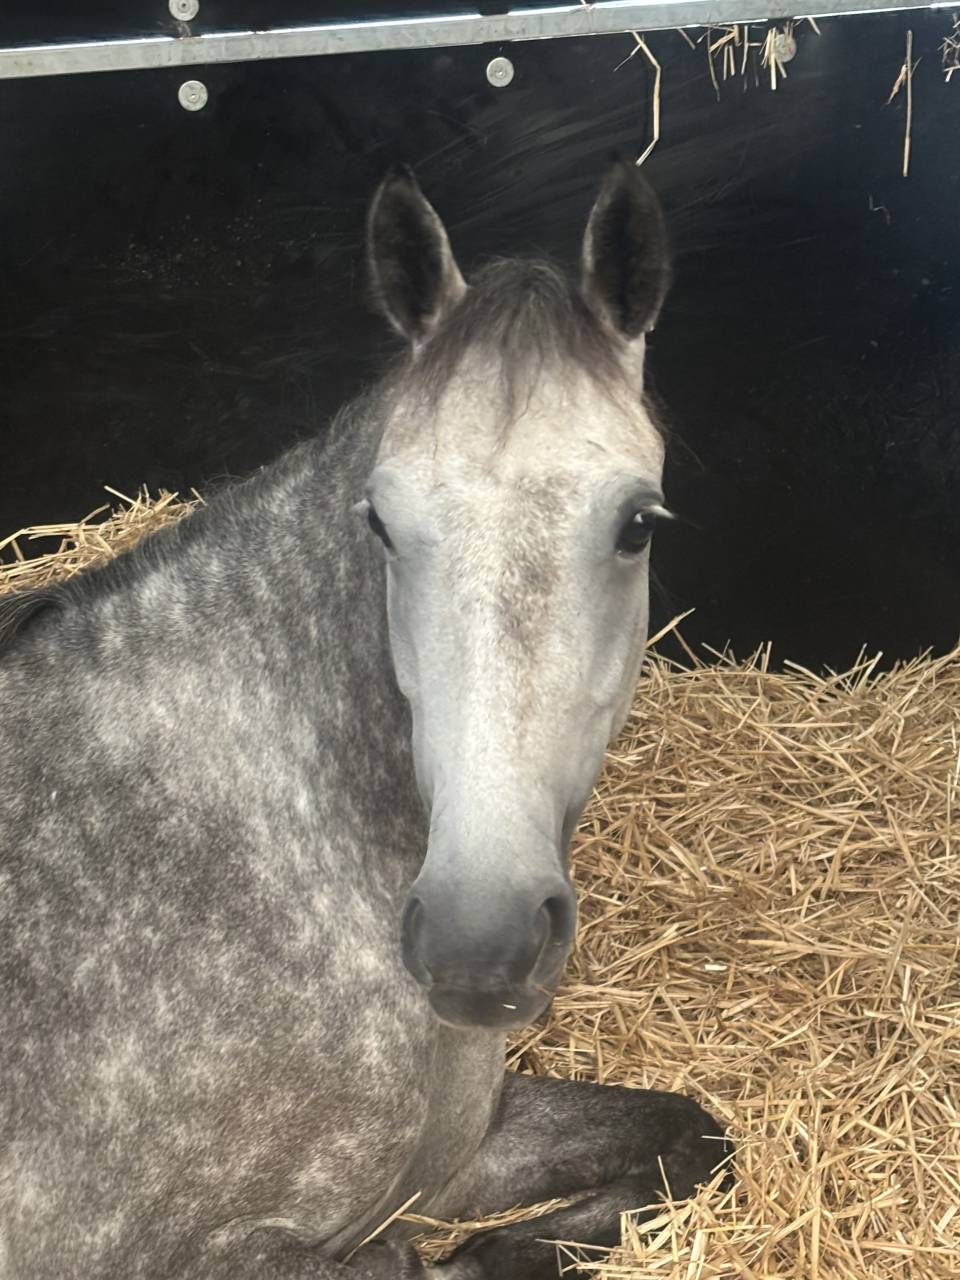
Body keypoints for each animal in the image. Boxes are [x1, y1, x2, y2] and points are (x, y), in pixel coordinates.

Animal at [0, 162, 728, 1280]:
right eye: (381, 520)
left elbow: (693, 1137)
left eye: (638, 524)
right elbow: (408, 1260)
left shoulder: (460, 1146)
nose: (478, 942)